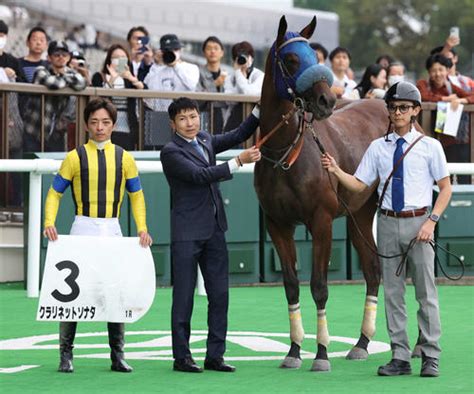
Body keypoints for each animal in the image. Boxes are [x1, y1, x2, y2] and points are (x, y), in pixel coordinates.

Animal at [256, 16, 388, 372]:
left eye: (315, 58)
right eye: (291, 60)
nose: (327, 100)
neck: (287, 152)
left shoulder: (321, 221)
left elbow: (319, 286)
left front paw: (322, 354)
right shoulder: (277, 224)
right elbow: (290, 286)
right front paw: (293, 351)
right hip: (359, 214)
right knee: (372, 268)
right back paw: (361, 343)